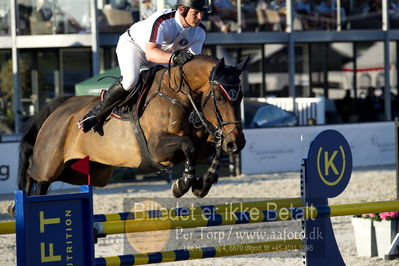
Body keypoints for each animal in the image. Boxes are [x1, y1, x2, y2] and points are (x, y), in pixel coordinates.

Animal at [14, 54, 248, 210]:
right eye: (220, 98)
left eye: (241, 96)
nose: (237, 142)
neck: (178, 95)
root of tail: (61, 105)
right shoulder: (158, 149)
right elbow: (187, 145)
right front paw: (182, 184)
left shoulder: (202, 146)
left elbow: (214, 147)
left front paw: (204, 183)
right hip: (49, 164)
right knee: (33, 175)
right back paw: (15, 204)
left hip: (87, 172)